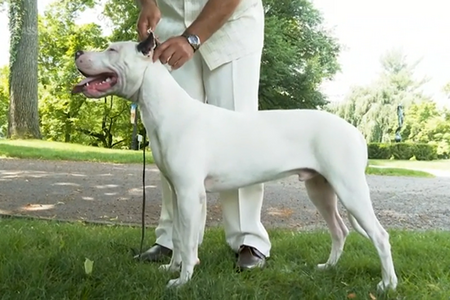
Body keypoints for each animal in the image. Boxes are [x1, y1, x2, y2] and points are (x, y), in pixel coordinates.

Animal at [73, 32, 398, 290]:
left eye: (112, 50)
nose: (77, 52)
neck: (168, 109)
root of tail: (355, 131)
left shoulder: (190, 194)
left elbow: (188, 241)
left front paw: (182, 281)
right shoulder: (178, 193)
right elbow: (178, 237)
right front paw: (172, 268)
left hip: (350, 189)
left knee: (380, 236)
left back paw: (387, 284)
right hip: (321, 189)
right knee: (339, 231)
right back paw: (328, 268)